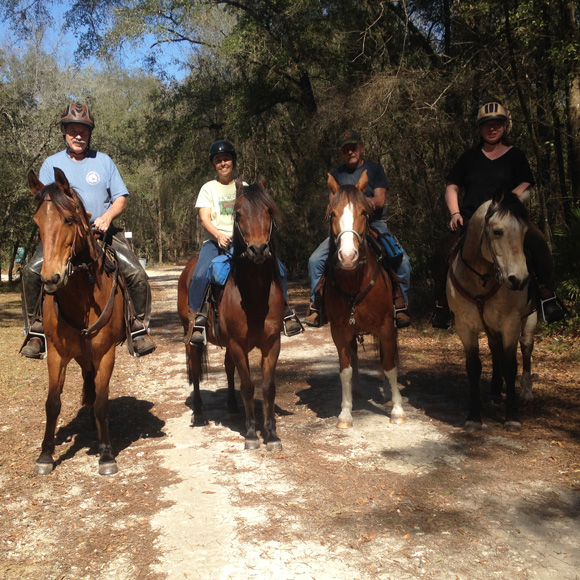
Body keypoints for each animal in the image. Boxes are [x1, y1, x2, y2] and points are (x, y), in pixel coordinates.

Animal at [27, 169, 125, 476]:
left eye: (68, 220)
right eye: (36, 222)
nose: (51, 278)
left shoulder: (105, 353)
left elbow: (102, 404)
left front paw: (106, 454)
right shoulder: (57, 354)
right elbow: (52, 403)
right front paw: (45, 455)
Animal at [177, 176, 286, 448]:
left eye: (269, 211)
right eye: (238, 213)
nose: (258, 250)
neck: (254, 295)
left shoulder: (272, 342)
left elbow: (267, 387)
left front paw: (271, 434)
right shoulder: (237, 343)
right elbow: (247, 385)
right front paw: (251, 434)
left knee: (227, 368)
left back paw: (233, 405)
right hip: (191, 336)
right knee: (196, 371)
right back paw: (199, 414)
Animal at [322, 170, 404, 428]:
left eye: (364, 213)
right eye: (332, 214)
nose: (348, 256)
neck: (354, 280)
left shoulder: (387, 326)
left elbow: (389, 366)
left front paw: (397, 410)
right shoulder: (339, 330)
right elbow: (345, 370)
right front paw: (345, 414)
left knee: (387, 359)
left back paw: (387, 395)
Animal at [446, 190, 536, 430]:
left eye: (525, 231)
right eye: (497, 231)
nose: (519, 280)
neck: (482, 279)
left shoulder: (511, 322)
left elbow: (510, 364)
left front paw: (512, 417)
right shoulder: (465, 326)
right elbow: (474, 366)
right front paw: (473, 417)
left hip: (529, 320)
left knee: (526, 348)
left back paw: (526, 392)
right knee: (495, 350)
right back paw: (495, 393)